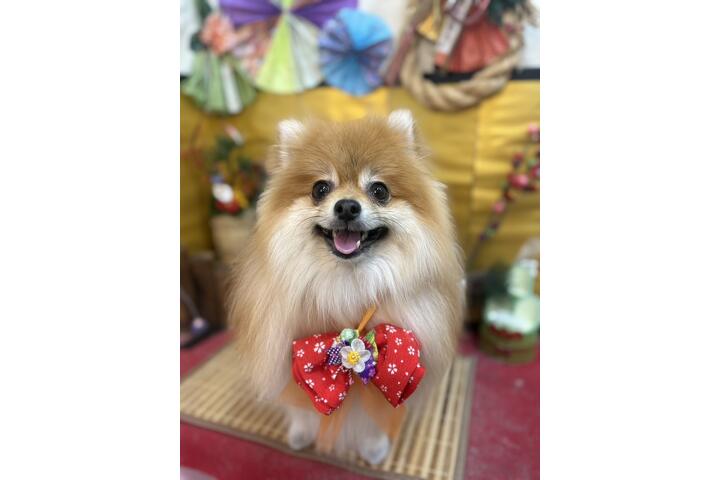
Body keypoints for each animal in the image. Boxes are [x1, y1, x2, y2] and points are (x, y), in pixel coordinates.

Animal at [228, 110, 464, 464]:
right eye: (320, 188)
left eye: (379, 190)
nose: (347, 206)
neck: (347, 285)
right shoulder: (285, 357)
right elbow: (302, 407)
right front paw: (301, 433)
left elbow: (374, 413)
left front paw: (374, 447)